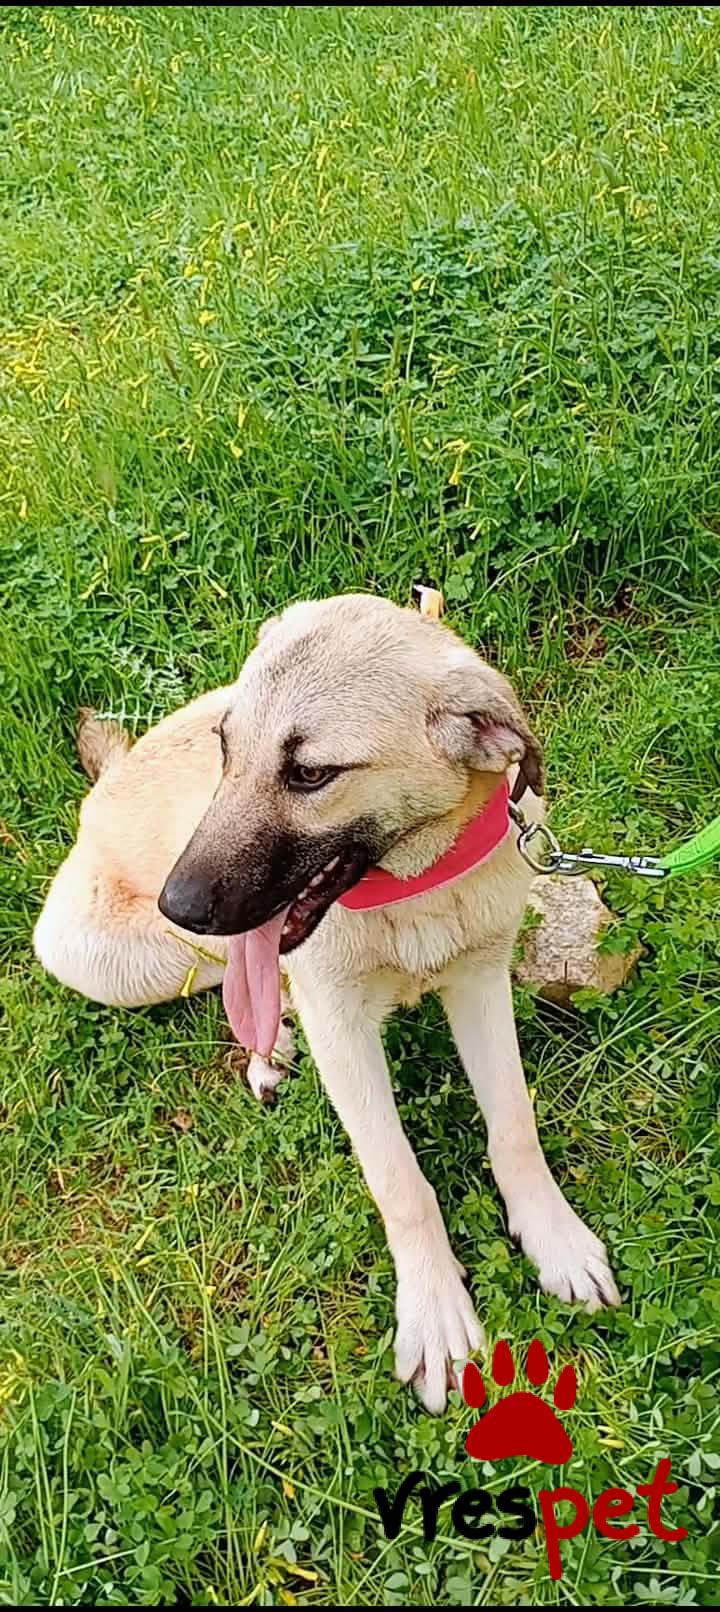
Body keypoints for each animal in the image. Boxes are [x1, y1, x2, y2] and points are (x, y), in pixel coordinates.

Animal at [34, 593, 620, 1412]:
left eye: (311, 773)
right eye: (225, 748)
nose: (177, 904)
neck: (410, 886)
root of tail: (108, 781)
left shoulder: (480, 980)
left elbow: (514, 1126)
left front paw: (553, 1235)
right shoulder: (341, 1028)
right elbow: (400, 1180)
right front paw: (434, 1309)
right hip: (106, 956)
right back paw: (269, 1041)